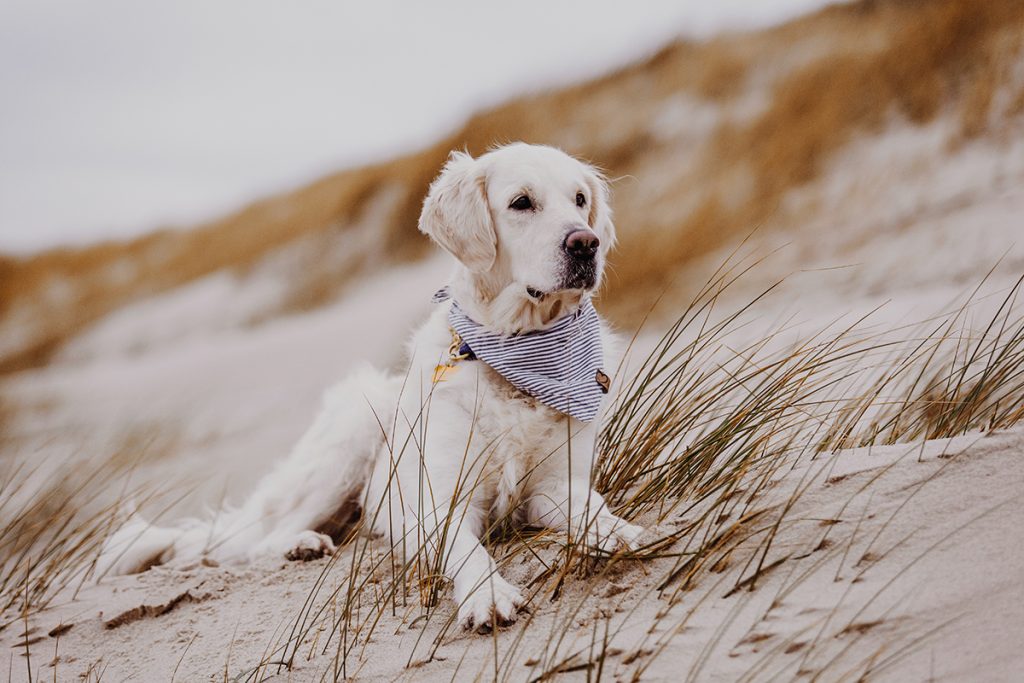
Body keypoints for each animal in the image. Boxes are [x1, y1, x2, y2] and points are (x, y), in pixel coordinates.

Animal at [96, 141, 638, 634]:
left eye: (580, 199)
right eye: (522, 202)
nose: (586, 243)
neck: (519, 351)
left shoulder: (556, 484)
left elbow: (592, 507)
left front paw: (620, 533)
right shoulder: (438, 504)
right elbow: (469, 551)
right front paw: (487, 597)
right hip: (347, 441)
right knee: (254, 542)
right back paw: (300, 545)